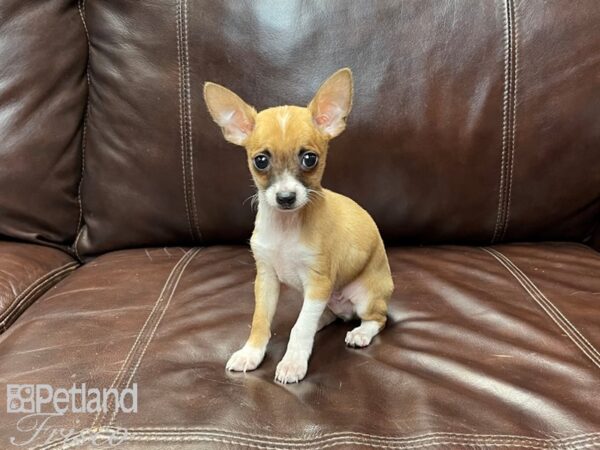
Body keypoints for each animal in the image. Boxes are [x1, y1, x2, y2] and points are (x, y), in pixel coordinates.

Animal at [204, 67, 396, 384]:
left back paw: (359, 333)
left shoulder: (318, 283)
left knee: (375, 318)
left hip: (366, 297)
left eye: (310, 159)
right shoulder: (266, 280)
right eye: (260, 161)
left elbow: (300, 329)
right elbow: (261, 321)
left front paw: (293, 362)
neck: (285, 227)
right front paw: (251, 353)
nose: (285, 197)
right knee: (323, 315)